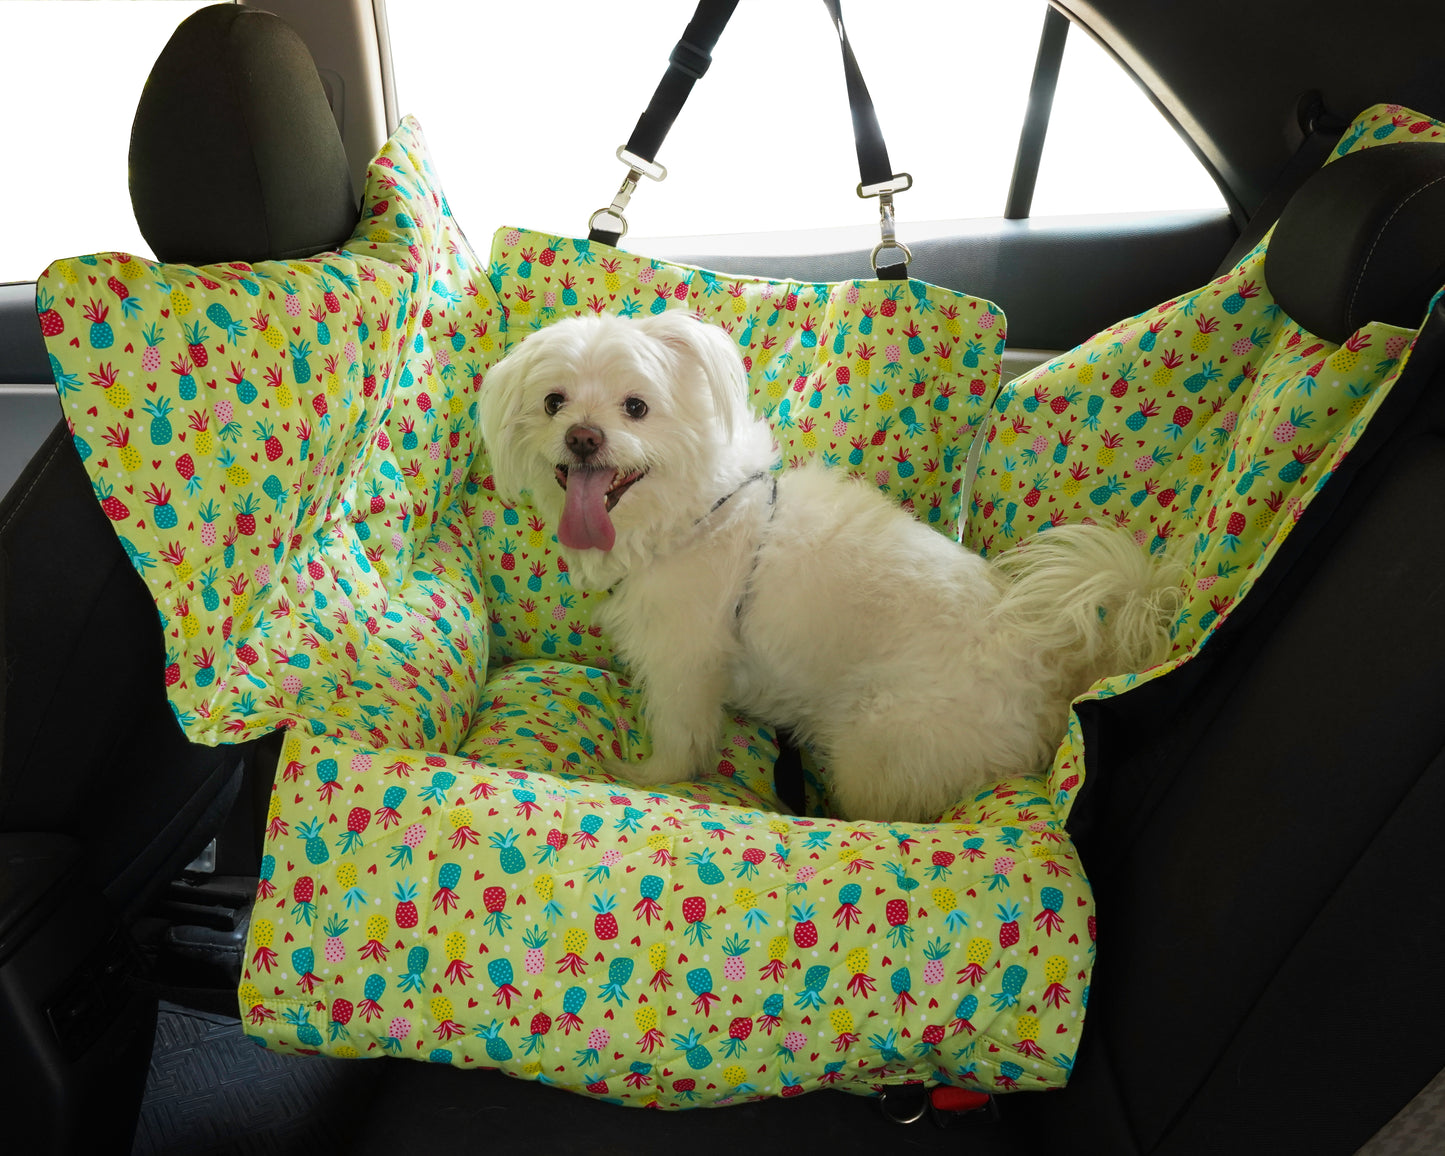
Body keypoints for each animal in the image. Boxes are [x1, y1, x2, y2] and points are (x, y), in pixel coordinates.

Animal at [479, 312, 1179, 820]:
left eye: (636, 407)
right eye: (554, 402)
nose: (583, 437)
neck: (694, 514)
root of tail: (1052, 667)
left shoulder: (685, 662)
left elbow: (679, 740)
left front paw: (644, 775)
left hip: (878, 743)